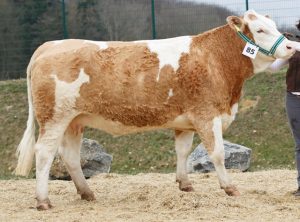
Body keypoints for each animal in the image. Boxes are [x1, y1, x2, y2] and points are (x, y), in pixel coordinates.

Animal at [15, 9, 298, 210]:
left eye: (274, 27)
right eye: (260, 30)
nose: (290, 47)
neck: (214, 58)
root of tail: (50, 45)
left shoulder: (186, 120)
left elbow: (182, 151)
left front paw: (185, 185)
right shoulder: (207, 115)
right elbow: (217, 153)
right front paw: (229, 188)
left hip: (74, 120)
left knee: (71, 156)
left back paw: (87, 193)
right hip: (54, 117)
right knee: (44, 153)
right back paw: (43, 201)